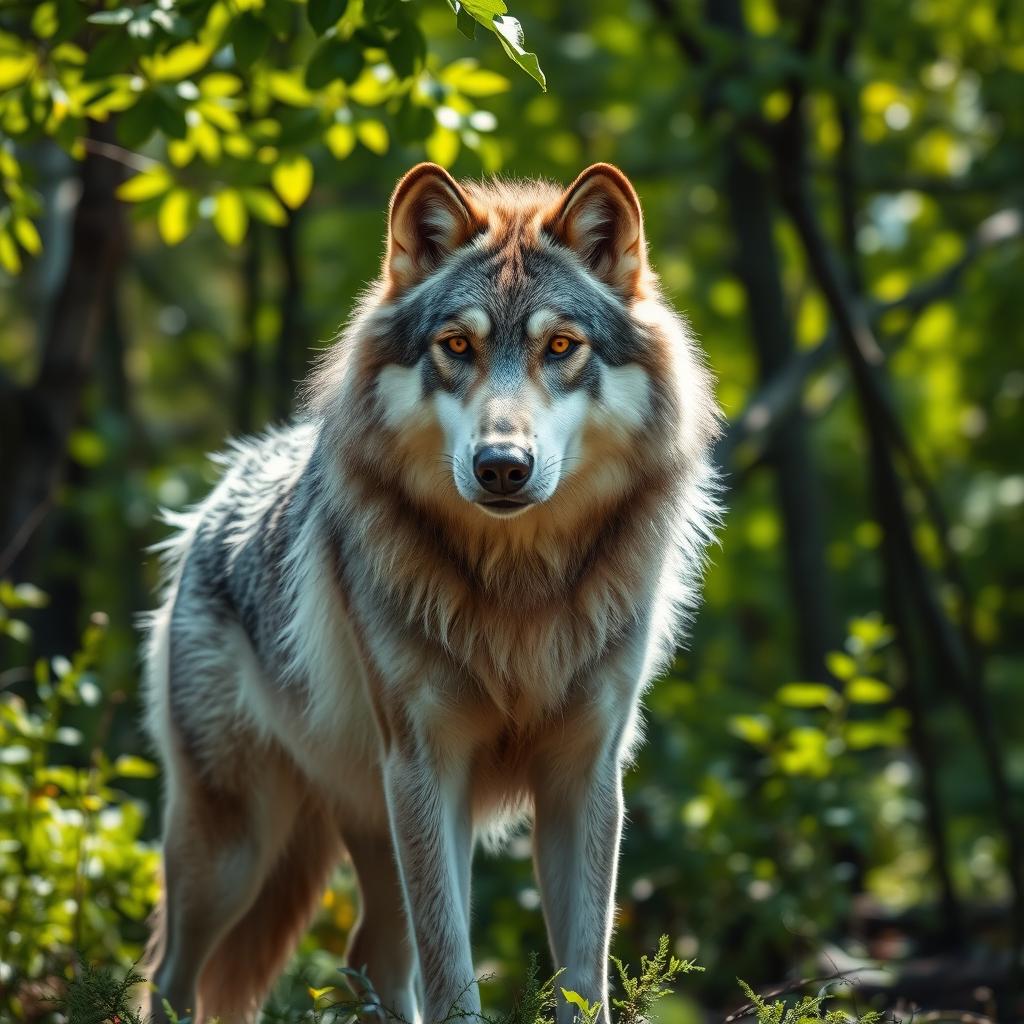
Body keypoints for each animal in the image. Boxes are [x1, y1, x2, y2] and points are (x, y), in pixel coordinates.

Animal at [142, 163, 720, 1024]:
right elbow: (454, 973)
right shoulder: (425, 768)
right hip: (236, 847)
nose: (502, 466)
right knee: (170, 977)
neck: (519, 592)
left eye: (561, 346)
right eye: (457, 346)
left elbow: (582, 978)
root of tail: (220, 490)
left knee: (367, 958)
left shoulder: (585, 773)